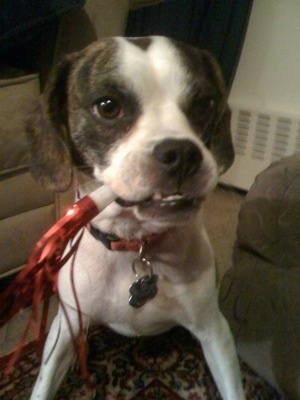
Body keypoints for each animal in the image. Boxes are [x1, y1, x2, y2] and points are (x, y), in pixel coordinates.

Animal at [25, 36, 245, 398]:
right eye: (107, 106)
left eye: (205, 104)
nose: (182, 153)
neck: (133, 241)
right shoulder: (65, 328)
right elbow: (42, 384)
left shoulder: (215, 331)